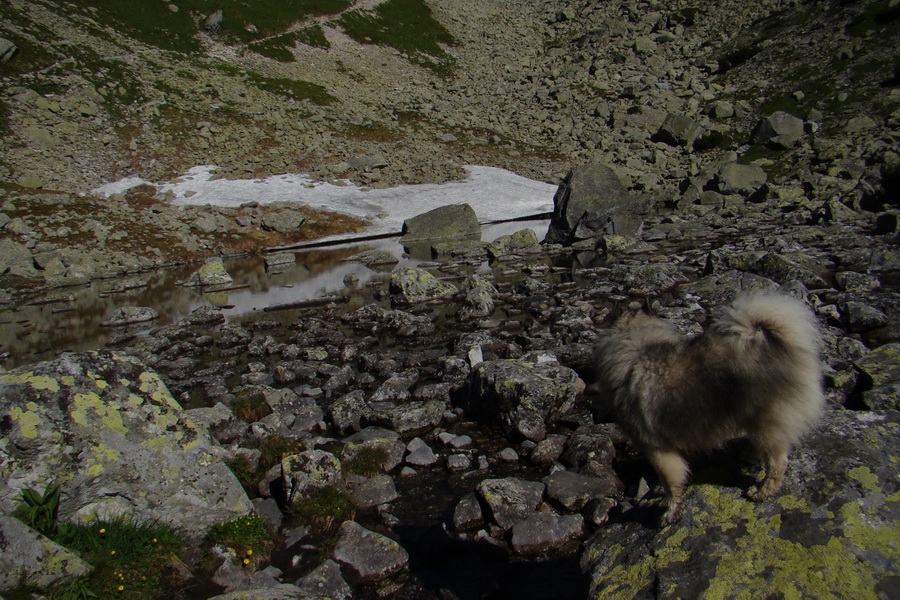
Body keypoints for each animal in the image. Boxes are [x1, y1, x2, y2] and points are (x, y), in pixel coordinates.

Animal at [596, 294, 828, 524]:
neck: (634, 338)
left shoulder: (655, 448)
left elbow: (671, 480)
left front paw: (669, 512)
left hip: (768, 421)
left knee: (777, 462)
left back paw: (762, 491)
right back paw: (749, 454)